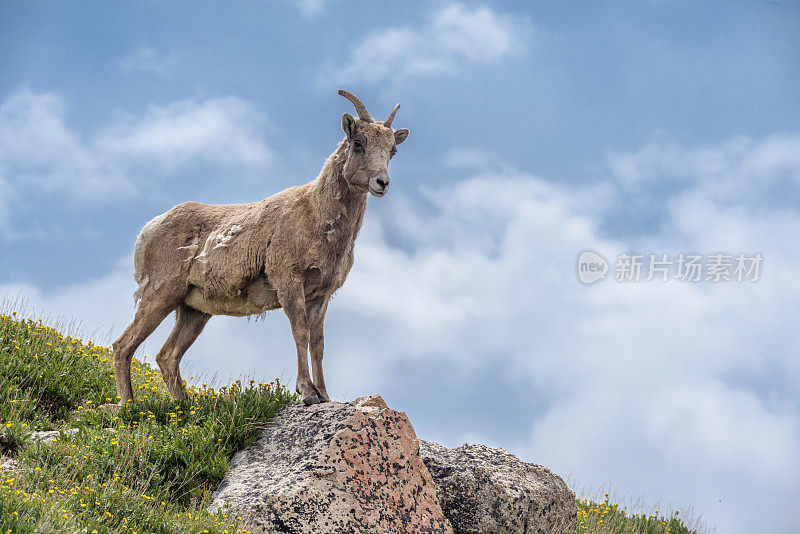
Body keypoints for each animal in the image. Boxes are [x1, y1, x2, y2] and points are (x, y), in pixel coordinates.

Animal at [114, 91, 406, 406]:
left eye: (392, 150)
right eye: (358, 143)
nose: (382, 183)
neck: (315, 214)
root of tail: (147, 231)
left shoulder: (321, 295)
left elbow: (318, 343)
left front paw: (324, 395)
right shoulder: (289, 282)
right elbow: (301, 333)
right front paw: (307, 393)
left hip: (193, 311)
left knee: (166, 356)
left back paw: (183, 404)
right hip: (160, 293)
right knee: (123, 346)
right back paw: (128, 406)